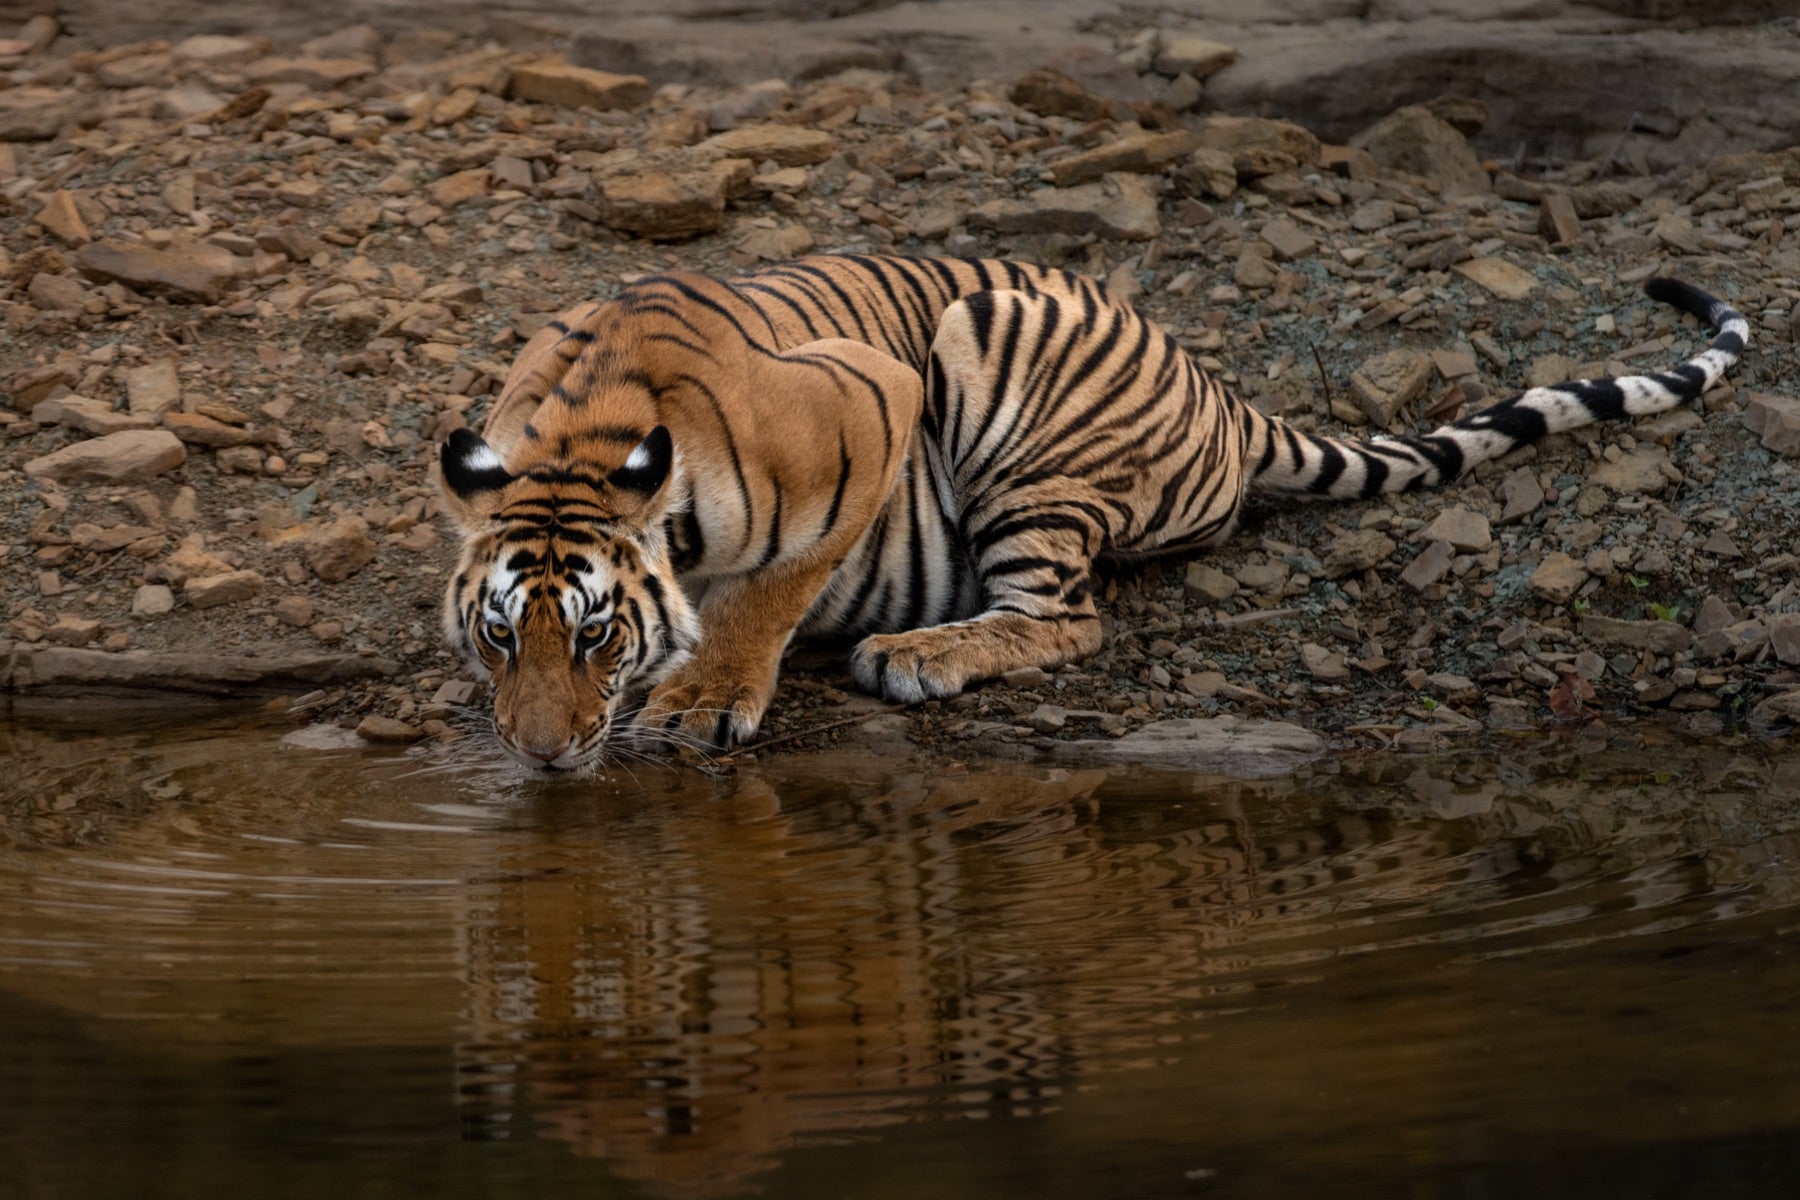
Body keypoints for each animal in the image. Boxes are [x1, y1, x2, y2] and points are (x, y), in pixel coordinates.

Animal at [436, 254, 1747, 771]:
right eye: (500, 636)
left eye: (599, 636)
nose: (540, 756)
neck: (575, 438)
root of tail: (1224, 392)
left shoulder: (872, 397)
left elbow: (773, 586)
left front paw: (701, 703)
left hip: (992, 359)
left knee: (1068, 615)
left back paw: (917, 654)